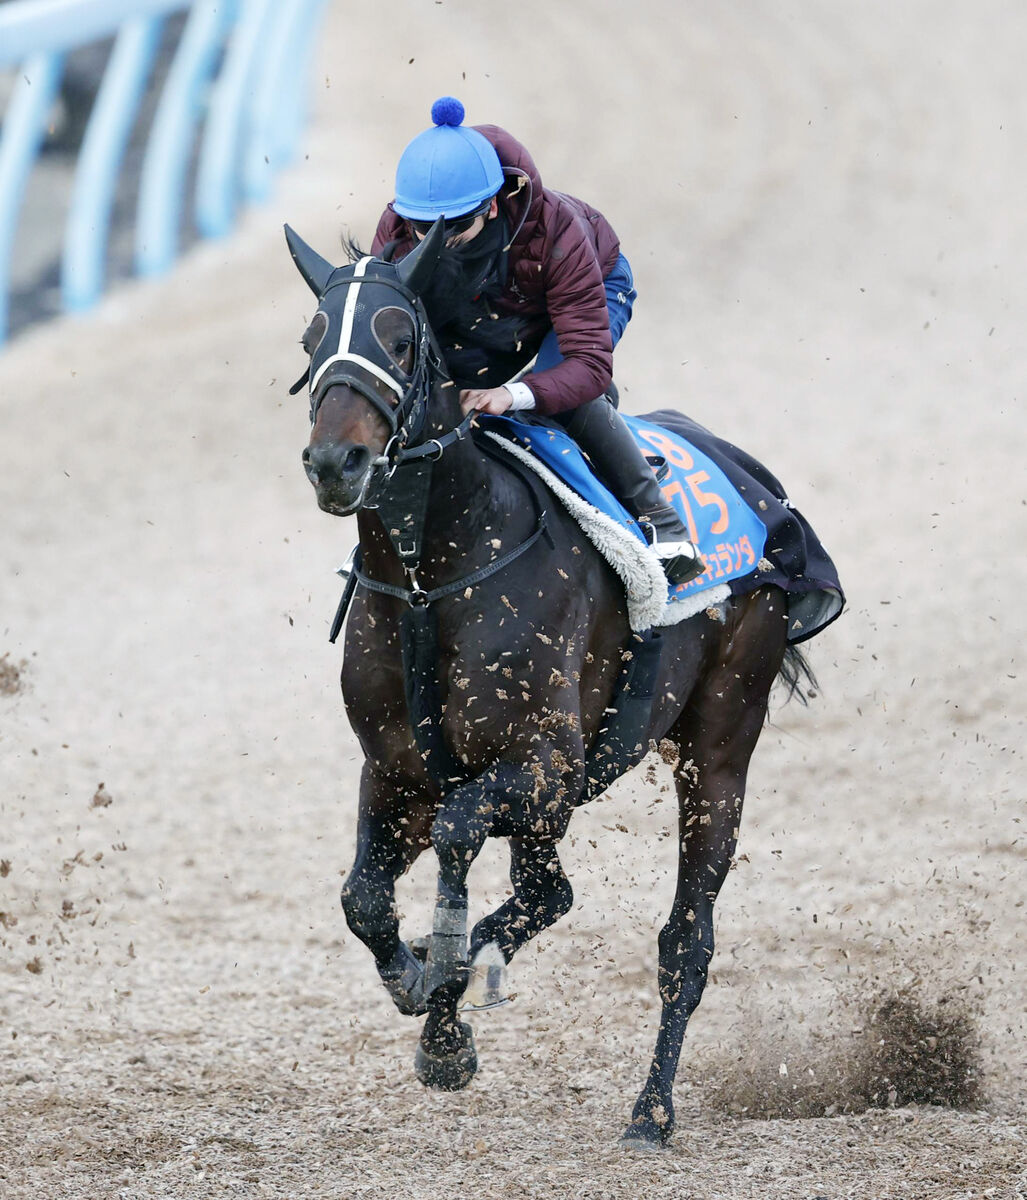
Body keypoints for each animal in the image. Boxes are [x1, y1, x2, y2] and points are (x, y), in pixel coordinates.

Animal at [284, 220, 806, 1147]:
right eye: (311, 342)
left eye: (401, 338)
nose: (335, 462)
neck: (431, 581)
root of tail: (757, 486)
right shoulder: (395, 771)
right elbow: (363, 899)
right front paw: (424, 988)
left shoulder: (541, 763)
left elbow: (457, 833)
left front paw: (442, 999)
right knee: (548, 889)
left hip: (716, 747)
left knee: (684, 942)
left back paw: (650, 1110)